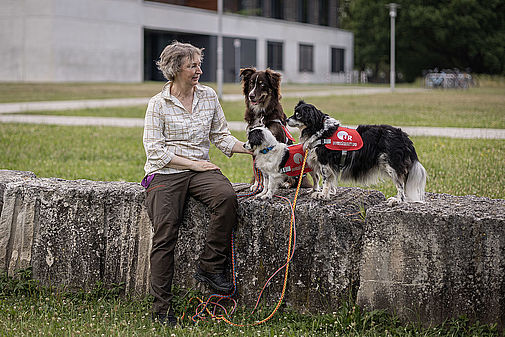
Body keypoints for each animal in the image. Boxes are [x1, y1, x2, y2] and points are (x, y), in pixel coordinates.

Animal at [288, 100, 426, 205]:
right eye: (294, 113)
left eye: (298, 115)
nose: (287, 119)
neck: (319, 128)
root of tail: (404, 137)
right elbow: (330, 181)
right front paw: (329, 192)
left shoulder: (325, 163)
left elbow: (326, 180)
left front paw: (322, 195)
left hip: (391, 166)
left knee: (401, 185)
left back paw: (398, 201)